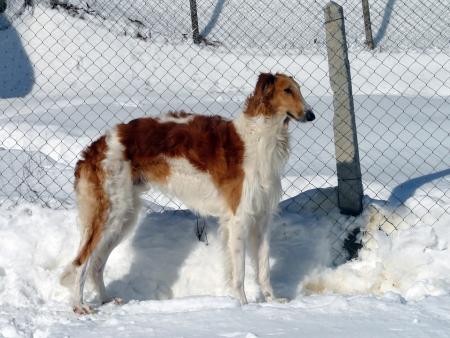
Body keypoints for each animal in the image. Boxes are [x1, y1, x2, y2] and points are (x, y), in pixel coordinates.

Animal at [62, 72, 316, 312]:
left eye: (299, 89)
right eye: (287, 90)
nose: (311, 115)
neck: (259, 137)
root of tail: (96, 147)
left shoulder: (262, 217)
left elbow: (263, 269)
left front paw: (272, 301)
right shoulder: (239, 217)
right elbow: (239, 272)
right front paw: (243, 306)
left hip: (124, 217)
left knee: (96, 263)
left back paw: (106, 300)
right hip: (110, 212)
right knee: (81, 262)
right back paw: (79, 305)